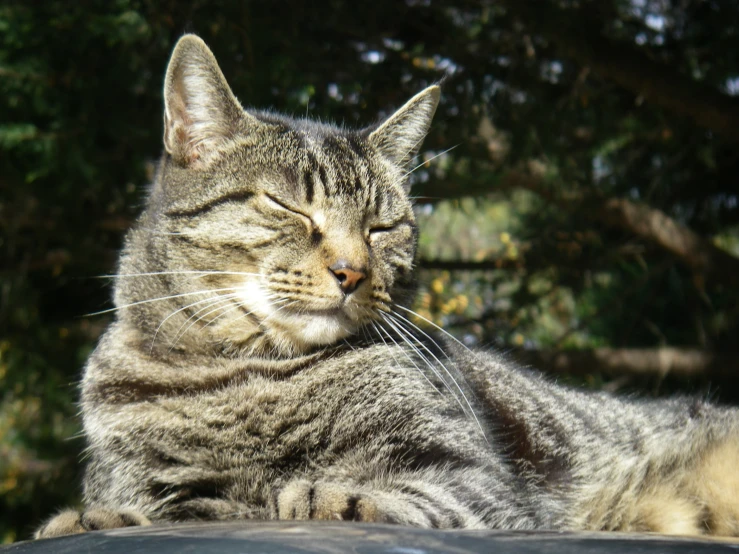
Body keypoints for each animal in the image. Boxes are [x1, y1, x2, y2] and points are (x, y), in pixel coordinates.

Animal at [36, 32, 739, 536]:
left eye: (383, 226)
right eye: (288, 207)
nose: (351, 271)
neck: (248, 374)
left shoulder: (474, 477)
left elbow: (421, 496)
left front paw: (331, 492)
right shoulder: (164, 483)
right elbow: (165, 506)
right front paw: (92, 517)